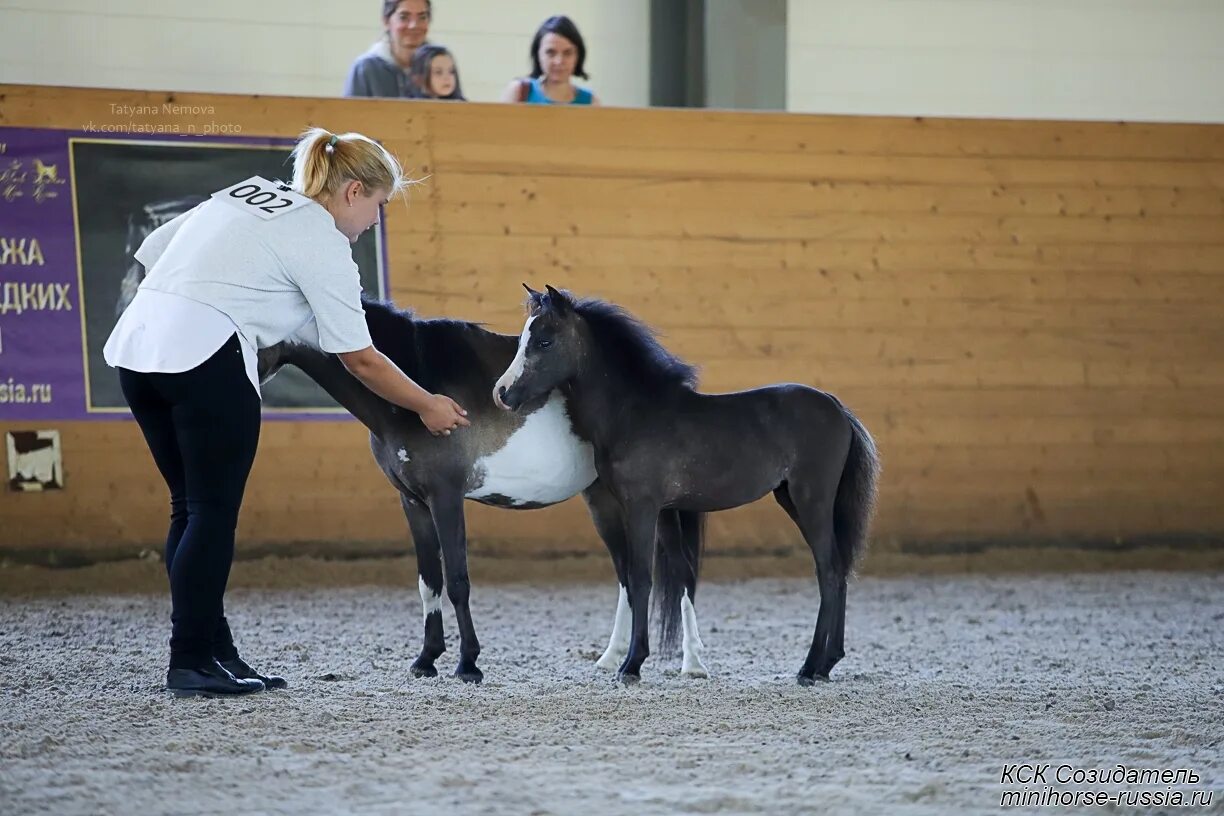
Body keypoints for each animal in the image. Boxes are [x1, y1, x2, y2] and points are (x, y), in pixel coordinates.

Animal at [258, 299, 709, 685]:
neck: (416, 391)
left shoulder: (445, 497)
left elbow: (457, 580)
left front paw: (468, 664)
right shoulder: (413, 502)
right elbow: (428, 581)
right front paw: (426, 660)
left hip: (654, 509)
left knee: (680, 572)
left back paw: (692, 664)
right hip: (604, 501)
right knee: (626, 575)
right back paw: (612, 658)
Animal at [489, 286, 881, 685]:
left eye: (545, 341)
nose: (501, 393)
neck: (634, 413)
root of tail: (836, 408)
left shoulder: (642, 508)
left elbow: (641, 578)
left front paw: (631, 665)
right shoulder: (664, 512)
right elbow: (675, 577)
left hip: (811, 500)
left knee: (828, 571)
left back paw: (810, 667)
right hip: (792, 499)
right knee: (839, 569)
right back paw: (828, 663)